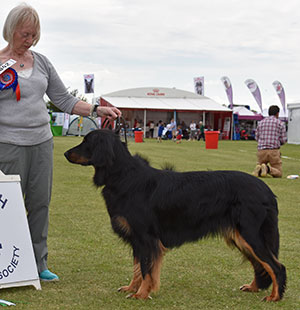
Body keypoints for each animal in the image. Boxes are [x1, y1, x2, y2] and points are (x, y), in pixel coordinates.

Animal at [65, 128, 286, 300]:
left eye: (86, 142)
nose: (66, 153)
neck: (124, 176)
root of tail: (266, 190)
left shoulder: (147, 238)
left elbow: (146, 269)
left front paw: (141, 294)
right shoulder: (137, 239)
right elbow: (137, 268)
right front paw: (132, 288)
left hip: (250, 234)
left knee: (276, 266)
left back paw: (274, 297)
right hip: (241, 237)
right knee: (261, 265)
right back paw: (253, 287)